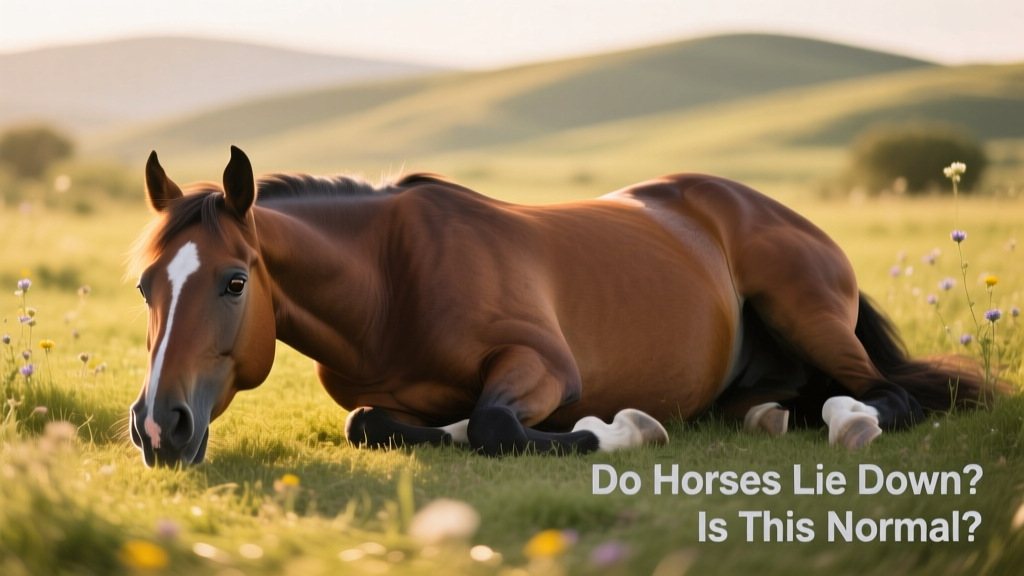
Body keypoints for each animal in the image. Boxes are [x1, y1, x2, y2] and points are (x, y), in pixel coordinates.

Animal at [128, 146, 984, 467]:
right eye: (144, 286)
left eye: (235, 282)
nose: (159, 426)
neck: (391, 285)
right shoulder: (371, 399)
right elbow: (368, 422)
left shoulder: (543, 365)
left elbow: (497, 424)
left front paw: (624, 428)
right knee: (781, 402)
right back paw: (776, 416)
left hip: (809, 312)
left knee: (891, 394)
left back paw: (850, 420)